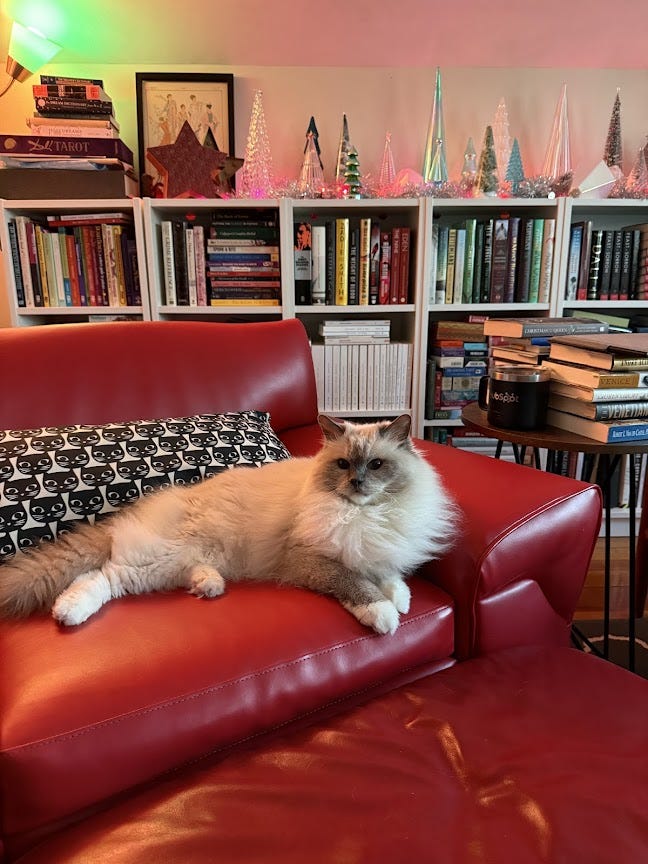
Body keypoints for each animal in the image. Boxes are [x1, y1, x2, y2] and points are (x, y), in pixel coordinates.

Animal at [0, 416, 456, 636]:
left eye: (376, 465)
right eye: (344, 465)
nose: (357, 483)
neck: (366, 515)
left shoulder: (380, 549)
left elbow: (391, 576)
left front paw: (401, 599)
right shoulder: (309, 561)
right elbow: (356, 584)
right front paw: (385, 615)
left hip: (180, 564)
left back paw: (210, 587)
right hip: (152, 564)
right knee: (101, 576)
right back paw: (68, 614)